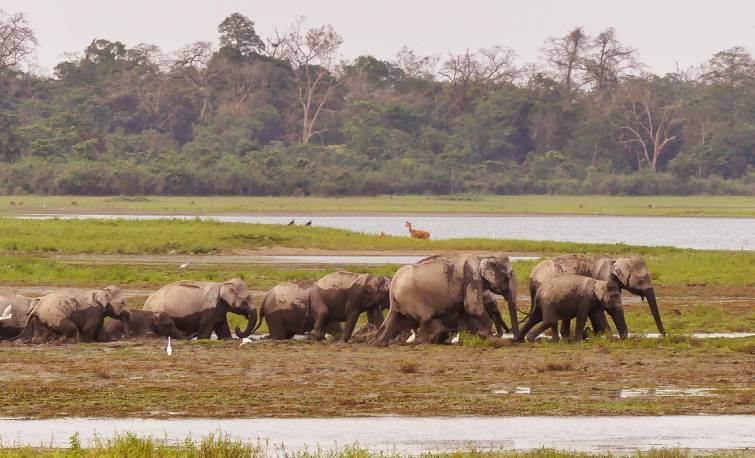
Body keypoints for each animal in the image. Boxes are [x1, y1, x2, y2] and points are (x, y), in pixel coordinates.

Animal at [374, 252, 520, 346]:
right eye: (509, 276)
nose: (513, 340)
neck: (484, 257)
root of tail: (394, 281)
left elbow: (464, 312)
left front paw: (463, 341)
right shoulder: (472, 276)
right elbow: (473, 308)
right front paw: (485, 335)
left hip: (400, 299)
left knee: (395, 319)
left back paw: (380, 343)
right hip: (410, 296)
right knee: (426, 316)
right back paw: (421, 342)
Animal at [528, 254, 664, 336]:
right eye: (643, 279)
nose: (664, 336)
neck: (615, 261)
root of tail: (532, 276)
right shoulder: (604, 281)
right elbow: (603, 310)